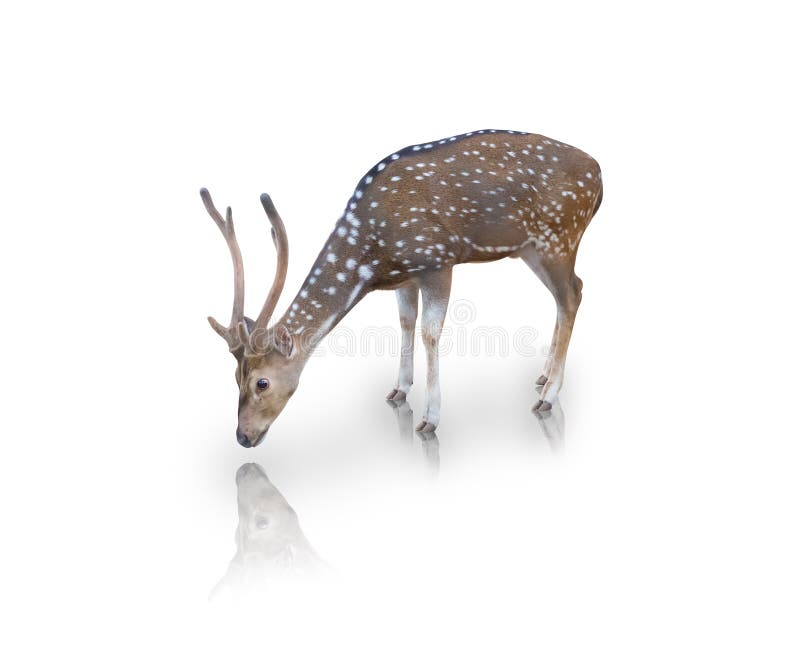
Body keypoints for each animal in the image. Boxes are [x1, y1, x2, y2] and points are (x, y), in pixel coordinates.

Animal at [200, 129, 602, 448]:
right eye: (234, 377)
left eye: (262, 383)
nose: (243, 437)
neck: (372, 259)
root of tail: (598, 173)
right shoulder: (405, 277)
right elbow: (405, 321)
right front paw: (399, 390)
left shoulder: (437, 260)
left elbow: (429, 332)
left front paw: (430, 418)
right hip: (531, 249)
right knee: (566, 294)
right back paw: (543, 375)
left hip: (559, 236)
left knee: (573, 294)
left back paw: (548, 395)